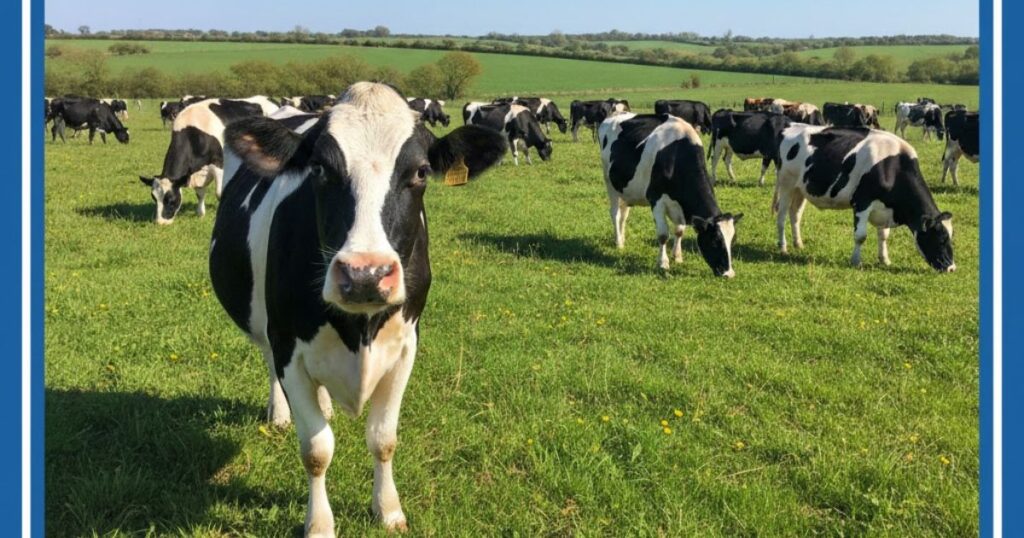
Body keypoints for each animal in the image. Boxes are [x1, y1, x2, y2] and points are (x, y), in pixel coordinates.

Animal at [210, 82, 506, 535]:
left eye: (421, 172)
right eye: (318, 169)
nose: (366, 274)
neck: (359, 329)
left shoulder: (405, 346)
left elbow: (383, 438)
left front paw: (388, 509)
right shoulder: (288, 345)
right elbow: (316, 449)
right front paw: (319, 524)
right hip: (263, 323)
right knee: (266, 357)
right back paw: (280, 413)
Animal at [599, 113, 742, 276]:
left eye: (733, 240)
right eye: (714, 241)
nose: (728, 274)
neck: (676, 157)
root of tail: (614, 116)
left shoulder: (681, 205)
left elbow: (679, 231)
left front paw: (677, 256)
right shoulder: (656, 200)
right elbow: (663, 235)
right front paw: (663, 263)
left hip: (625, 189)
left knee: (624, 215)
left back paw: (622, 239)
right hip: (609, 183)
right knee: (615, 214)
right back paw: (618, 243)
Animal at [773, 125, 955, 272]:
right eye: (941, 238)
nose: (952, 268)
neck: (892, 167)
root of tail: (790, 128)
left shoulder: (885, 208)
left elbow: (884, 235)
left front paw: (884, 260)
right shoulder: (862, 202)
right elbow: (860, 236)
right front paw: (856, 261)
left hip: (800, 189)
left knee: (795, 214)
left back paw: (798, 244)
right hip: (786, 184)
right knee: (781, 215)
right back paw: (783, 247)